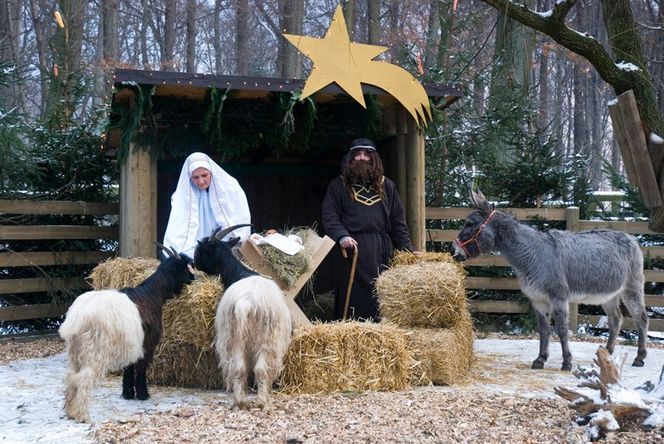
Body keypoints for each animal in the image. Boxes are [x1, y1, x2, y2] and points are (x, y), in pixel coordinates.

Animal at [58, 246, 195, 424]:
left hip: (75, 351)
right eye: (186, 268)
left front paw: (128, 393)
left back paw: (70, 411)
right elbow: (142, 366)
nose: (194, 278)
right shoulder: (147, 343)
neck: (152, 295)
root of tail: (78, 316)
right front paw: (143, 394)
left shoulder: (130, 343)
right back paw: (82, 415)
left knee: (71, 376)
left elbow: (129, 367)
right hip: (94, 350)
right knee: (83, 378)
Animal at [195, 224, 294, 412]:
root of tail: (245, 302)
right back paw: (262, 403)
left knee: (240, 368)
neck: (240, 273)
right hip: (263, 338)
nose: (193, 261)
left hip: (236, 337)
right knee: (259, 369)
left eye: (201, 250)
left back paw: (240, 402)